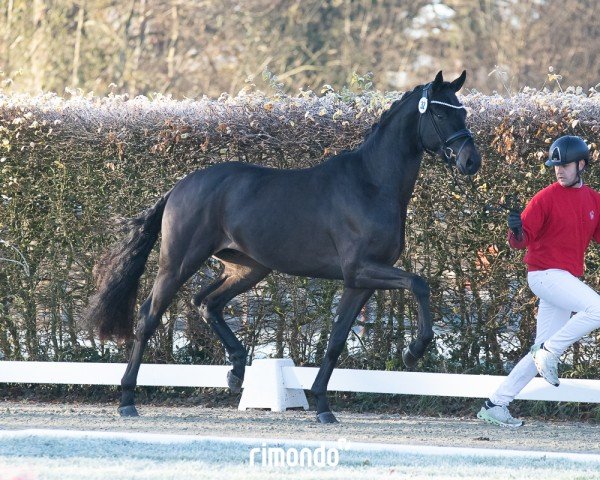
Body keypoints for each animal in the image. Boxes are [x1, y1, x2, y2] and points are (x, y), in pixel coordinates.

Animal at [85, 69, 482, 422]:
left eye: (462, 111)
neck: (371, 183)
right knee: (149, 316)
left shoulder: (360, 282)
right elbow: (419, 283)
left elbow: (337, 340)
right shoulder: (362, 269)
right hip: (179, 261)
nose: (470, 161)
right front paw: (414, 352)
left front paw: (322, 406)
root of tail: (179, 186)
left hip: (248, 267)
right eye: (441, 113)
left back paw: (236, 370)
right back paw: (127, 399)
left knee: (206, 303)